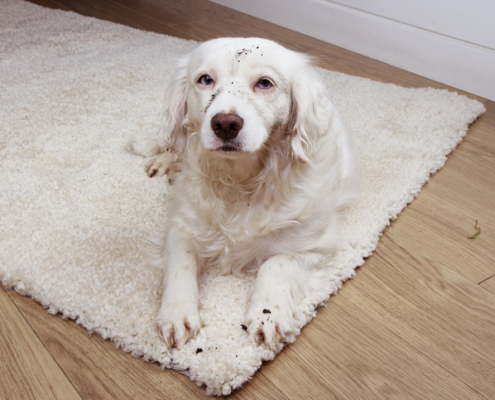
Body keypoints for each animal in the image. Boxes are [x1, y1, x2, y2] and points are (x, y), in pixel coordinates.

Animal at [129, 36, 360, 350]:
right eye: (205, 79)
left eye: (264, 83)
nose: (225, 124)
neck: (241, 181)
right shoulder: (180, 228)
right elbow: (181, 264)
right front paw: (177, 313)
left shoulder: (313, 245)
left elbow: (275, 265)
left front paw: (268, 315)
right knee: (172, 145)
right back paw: (159, 157)